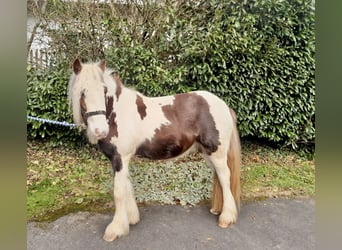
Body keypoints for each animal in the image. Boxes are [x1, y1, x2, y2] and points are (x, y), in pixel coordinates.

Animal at [68, 59, 242, 241]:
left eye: (104, 90)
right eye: (82, 92)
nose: (100, 130)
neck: (118, 114)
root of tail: (224, 105)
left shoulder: (120, 158)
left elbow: (118, 192)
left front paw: (115, 229)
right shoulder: (122, 160)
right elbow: (127, 187)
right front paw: (131, 219)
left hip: (217, 152)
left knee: (224, 177)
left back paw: (226, 217)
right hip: (208, 153)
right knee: (219, 177)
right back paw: (217, 209)